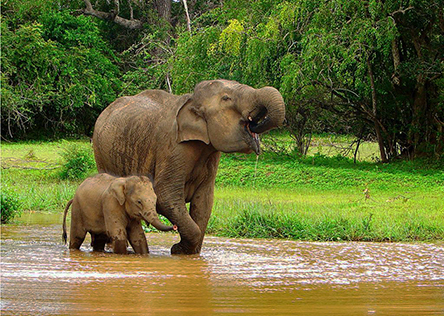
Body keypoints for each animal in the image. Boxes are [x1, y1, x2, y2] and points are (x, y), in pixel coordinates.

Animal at [93, 79, 286, 254]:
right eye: (226, 98)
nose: (255, 123)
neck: (191, 100)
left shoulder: (211, 152)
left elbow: (204, 202)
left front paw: (187, 252)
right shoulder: (172, 148)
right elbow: (165, 196)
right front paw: (178, 250)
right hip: (100, 152)